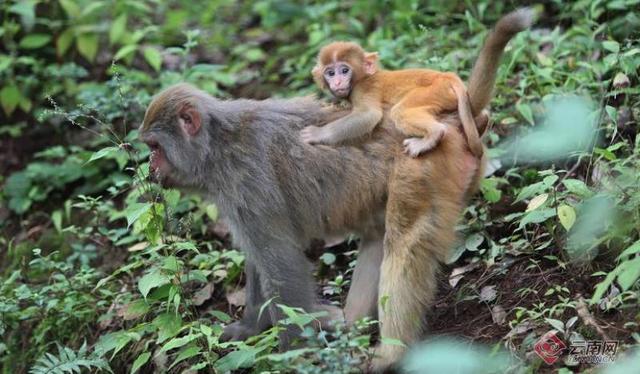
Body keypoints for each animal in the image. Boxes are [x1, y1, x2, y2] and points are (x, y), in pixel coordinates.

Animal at [302, 41, 482, 159]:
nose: (338, 82)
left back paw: (433, 134)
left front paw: (318, 133)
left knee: (400, 112)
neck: (363, 77)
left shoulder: (364, 89)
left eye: (344, 71)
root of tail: (445, 76)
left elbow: (368, 115)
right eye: (330, 73)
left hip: (434, 91)